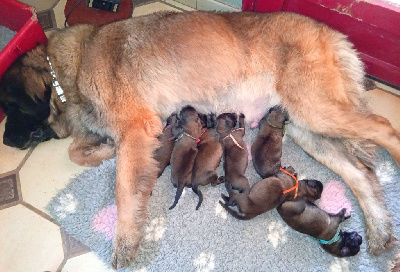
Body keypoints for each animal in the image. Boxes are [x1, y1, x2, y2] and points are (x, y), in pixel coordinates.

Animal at [0, 10, 400, 268]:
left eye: (8, 108)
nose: (6, 142)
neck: (72, 66)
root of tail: (331, 32)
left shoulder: (135, 128)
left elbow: (123, 188)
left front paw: (124, 241)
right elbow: (75, 151)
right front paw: (101, 148)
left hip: (317, 109)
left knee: (384, 128)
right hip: (306, 127)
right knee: (360, 173)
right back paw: (380, 231)